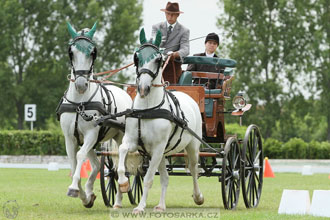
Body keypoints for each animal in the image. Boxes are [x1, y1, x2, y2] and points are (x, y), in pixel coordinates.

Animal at [58, 22, 131, 208]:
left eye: (93, 52)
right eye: (71, 52)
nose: (81, 84)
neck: (79, 103)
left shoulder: (91, 134)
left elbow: (79, 156)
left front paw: (75, 188)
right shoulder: (70, 138)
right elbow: (73, 163)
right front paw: (84, 195)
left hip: (121, 135)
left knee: (122, 161)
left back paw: (121, 191)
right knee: (99, 166)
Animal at [116, 29, 204, 213]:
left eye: (158, 59)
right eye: (136, 57)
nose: (143, 88)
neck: (147, 110)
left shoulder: (157, 148)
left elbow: (148, 178)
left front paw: (140, 207)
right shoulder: (133, 142)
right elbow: (122, 152)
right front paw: (123, 183)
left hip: (191, 145)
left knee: (193, 170)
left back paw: (198, 197)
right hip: (163, 153)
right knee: (165, 177)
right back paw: (161, 206)